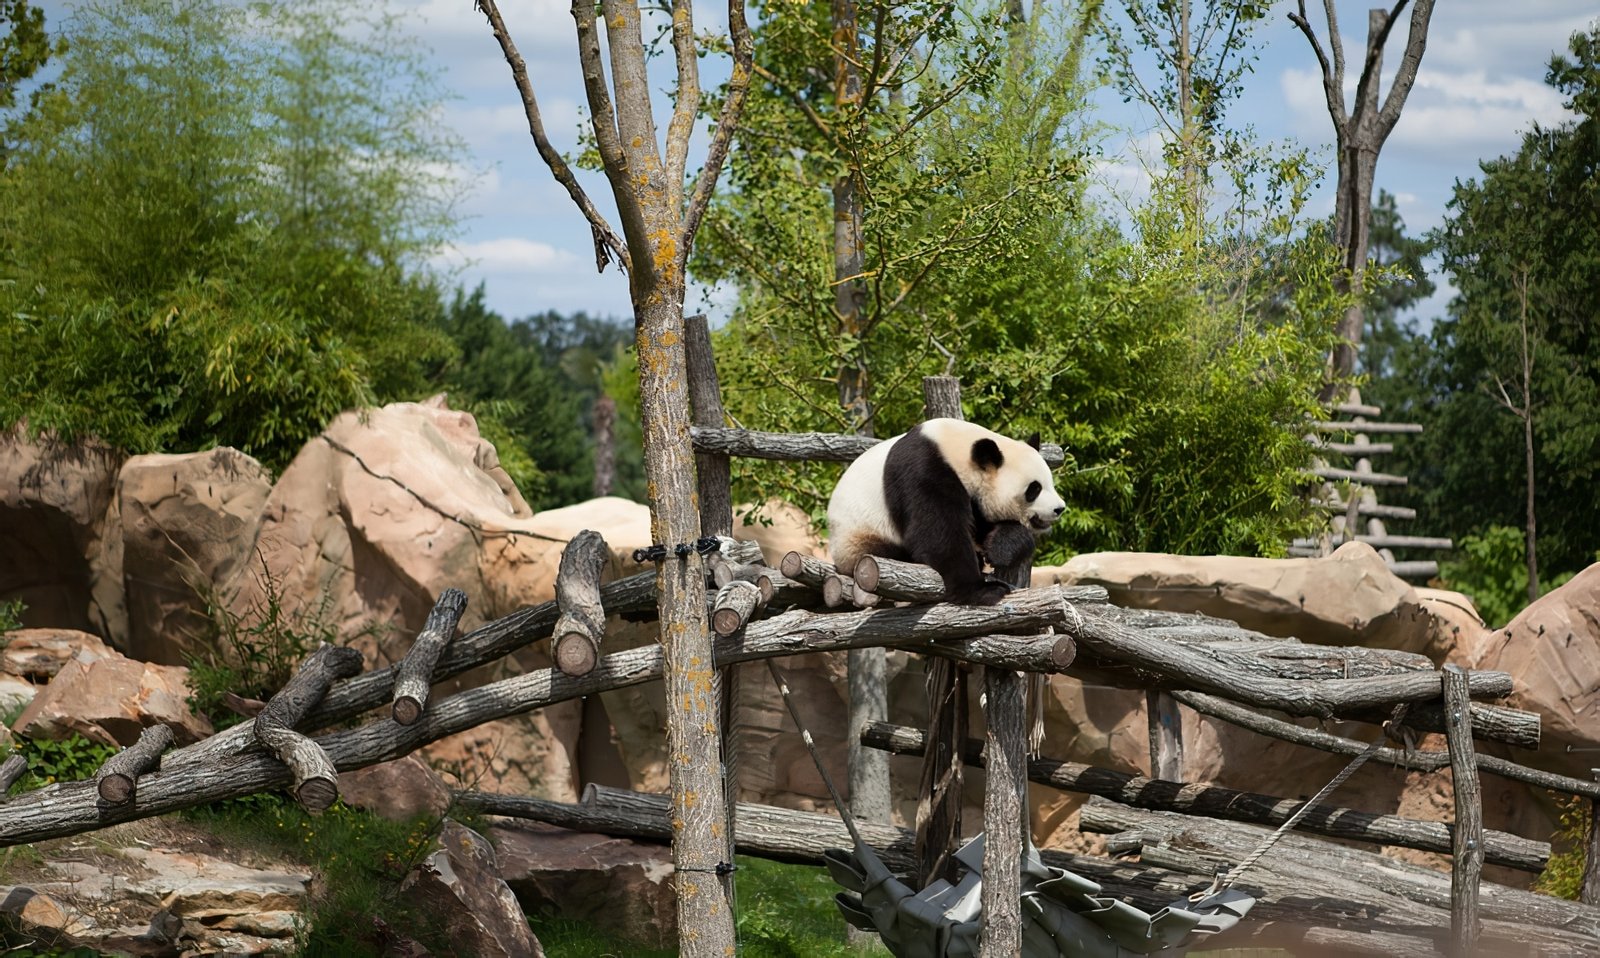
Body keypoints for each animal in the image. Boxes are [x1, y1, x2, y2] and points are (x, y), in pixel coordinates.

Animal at [825, 419, 1062, 607]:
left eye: (1049, 483)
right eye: (1034, 489)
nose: (1059, 508)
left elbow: (983, 526)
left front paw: (1000, 549)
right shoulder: (924, 470)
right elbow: (937, 534)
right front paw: (981, 592)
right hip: (859, 538)